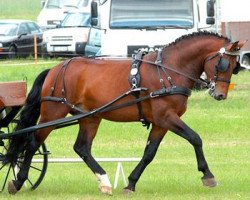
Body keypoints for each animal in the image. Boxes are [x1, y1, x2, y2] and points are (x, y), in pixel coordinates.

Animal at [4, 32, 245, 195]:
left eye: (235, 66)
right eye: (223, 64)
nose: (220, 94)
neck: (168, 70)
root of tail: (56, 68)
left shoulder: (161, 123)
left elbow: (149, 153)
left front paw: (131, 183)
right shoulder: (166, 117)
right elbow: (195, 138)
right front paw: (208, 175)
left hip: (90, 117)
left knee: (82, 147)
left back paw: (104, 182)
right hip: (54, 113)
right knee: (33, 142)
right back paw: (19, 181)